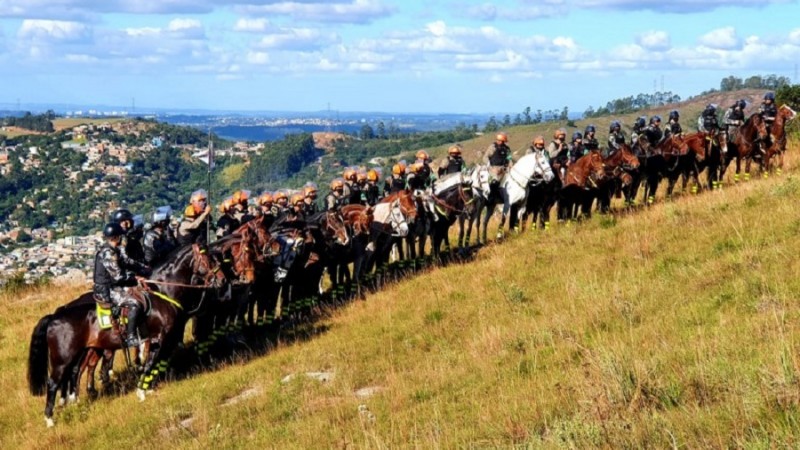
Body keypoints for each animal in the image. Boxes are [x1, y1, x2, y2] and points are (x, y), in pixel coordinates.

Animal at [28, 244, 222, 428]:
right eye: (208, 259)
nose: (222, 279)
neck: (163, 294)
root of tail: (55, 317)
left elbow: (151, 363)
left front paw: (147, 387)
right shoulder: (159, 339)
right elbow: (149, 364)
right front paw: (142, 392)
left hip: (82, 352)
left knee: (73, 373)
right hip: (63, 359)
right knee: (54, 383)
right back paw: (50, 419)